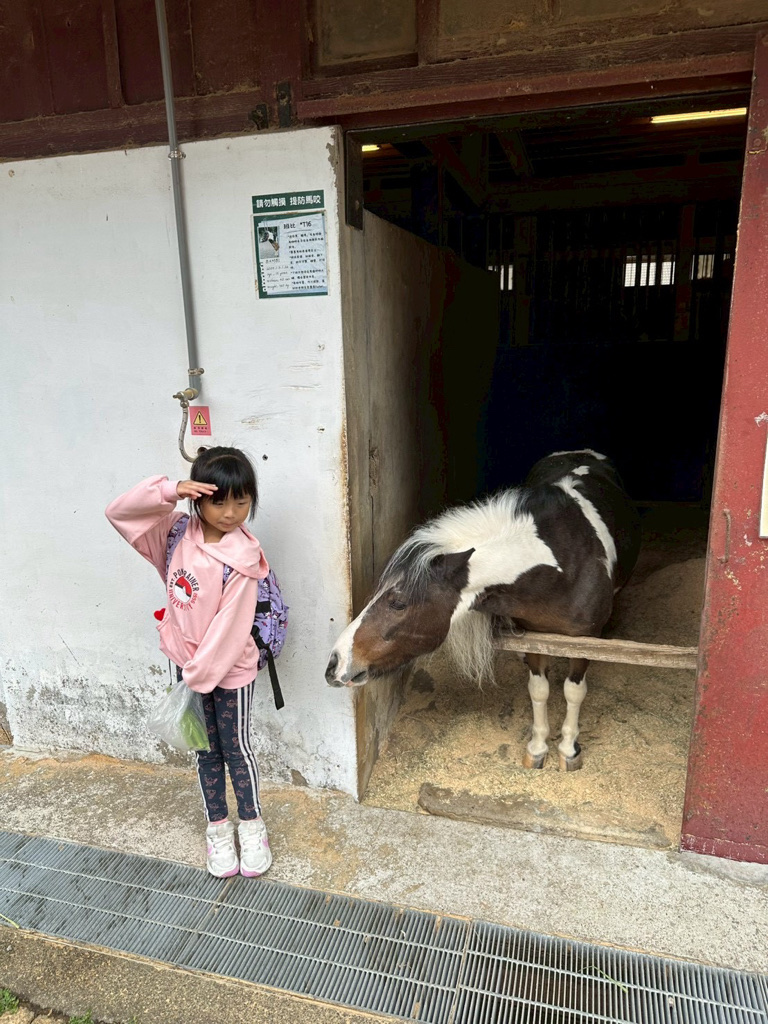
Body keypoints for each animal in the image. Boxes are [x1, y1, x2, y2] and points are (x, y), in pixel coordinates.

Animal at [325, 450, 641, 771]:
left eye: (398, 602)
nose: (334, 665)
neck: (564, 566)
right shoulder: (536, 639)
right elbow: (538, 689)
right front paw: (538, 748)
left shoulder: (584, 643)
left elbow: (573, 692)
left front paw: (568, 750)